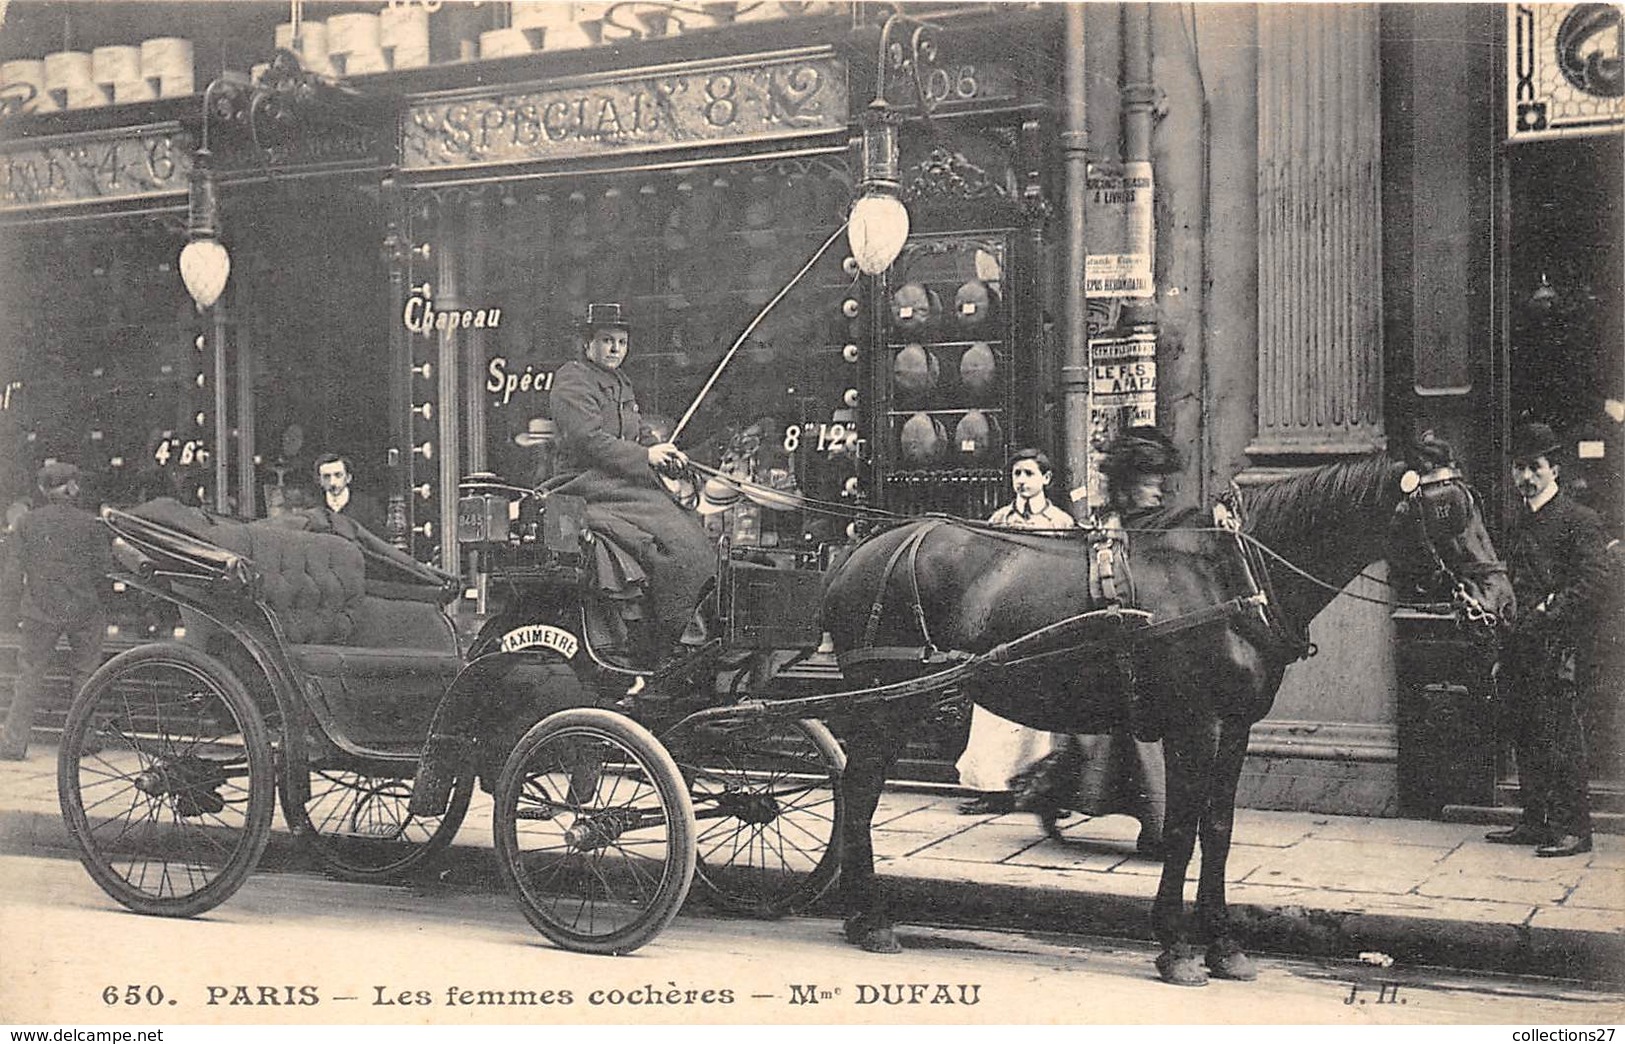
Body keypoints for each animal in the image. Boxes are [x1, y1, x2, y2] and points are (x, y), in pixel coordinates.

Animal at [819, 448, 1514, 982]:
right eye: (1447, 513)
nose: (1503, 603)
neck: (1233, 575)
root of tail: (860, 550)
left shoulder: (1235, 728)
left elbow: (1219, 830)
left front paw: (1224, 944)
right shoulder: (1195, 725)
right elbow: (1181, 828)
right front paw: (1177, 946)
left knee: (856, 790)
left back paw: (857, 910)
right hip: (889, 702)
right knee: (861, 791)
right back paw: (871, 916)